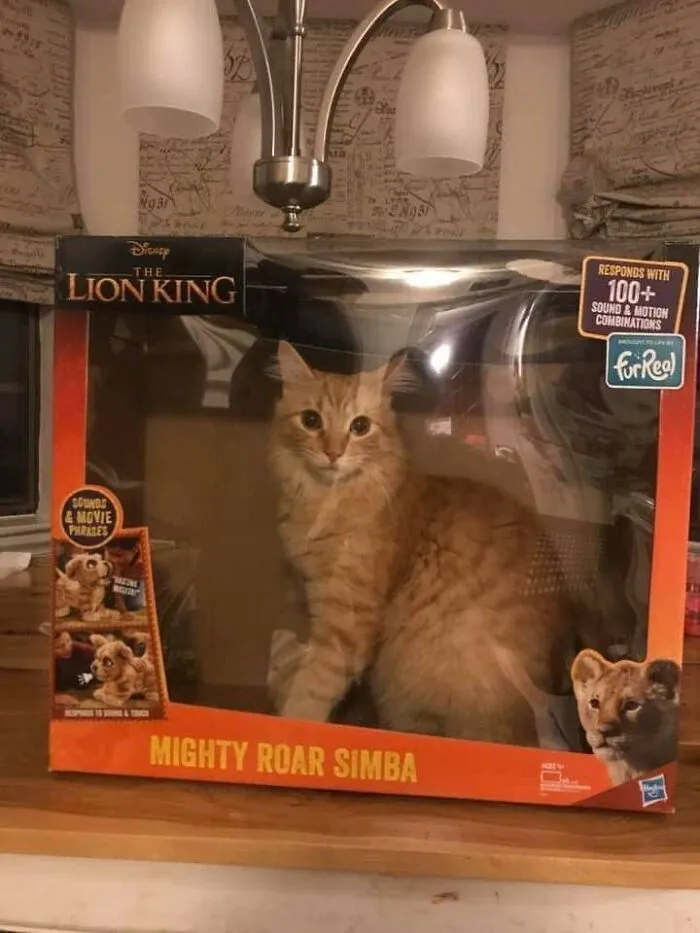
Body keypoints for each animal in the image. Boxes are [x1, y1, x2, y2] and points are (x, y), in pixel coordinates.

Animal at [268, 340, 573, 745]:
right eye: (311, 421)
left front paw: (291, 724)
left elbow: (312, 686)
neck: (324, 504)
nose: (333, 453)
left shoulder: (346, 623)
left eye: (359, 426)